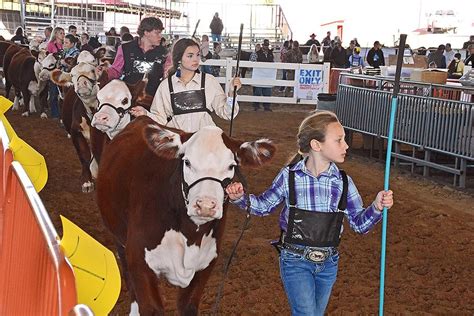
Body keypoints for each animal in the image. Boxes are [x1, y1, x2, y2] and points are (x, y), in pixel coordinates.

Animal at [96, 117, 276, 314]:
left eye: (231, 166)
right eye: (187, 162)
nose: (205, 205)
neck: (191, 234)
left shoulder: (206, 264)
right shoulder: (139, 259)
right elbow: (151, 308)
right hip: (119, 239)